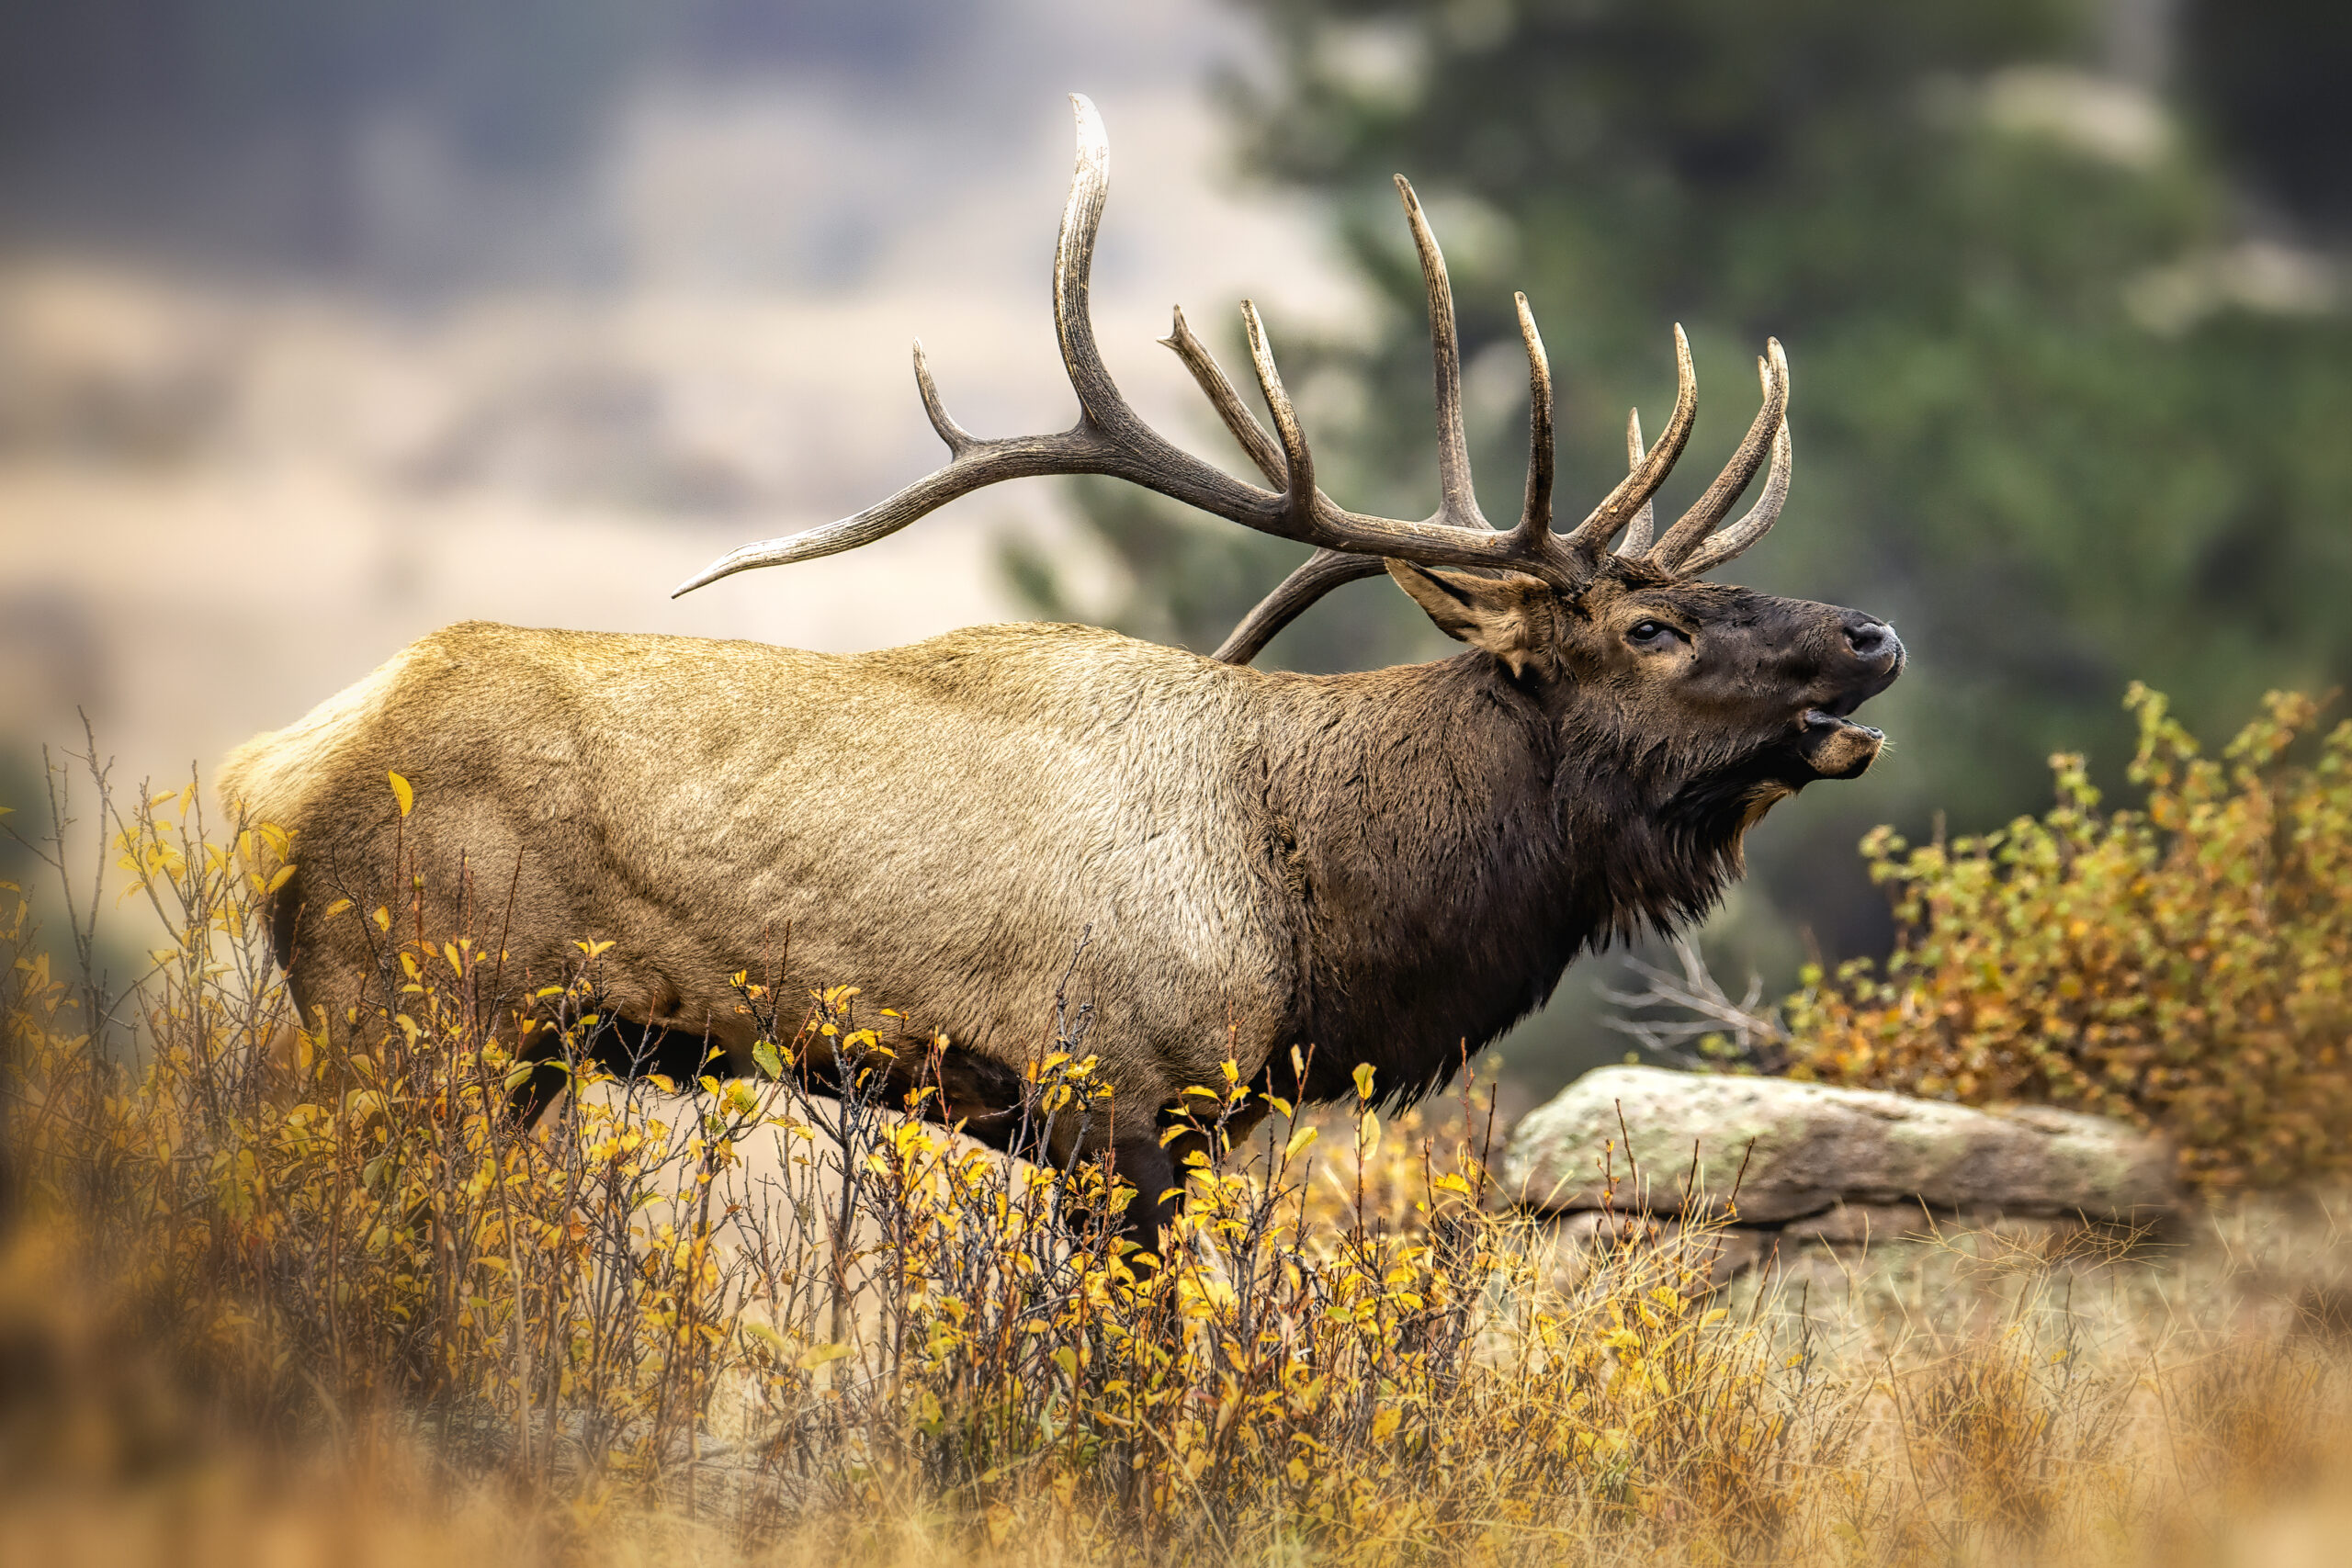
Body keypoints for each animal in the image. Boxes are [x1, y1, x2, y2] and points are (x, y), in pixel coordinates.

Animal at [221, 96, 1902, 1242]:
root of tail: (265, 770)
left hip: (507, 1050)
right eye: (1651, 629)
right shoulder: (1120, 1095)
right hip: (411, 1008)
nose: (1873, 632)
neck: (1315, 913)